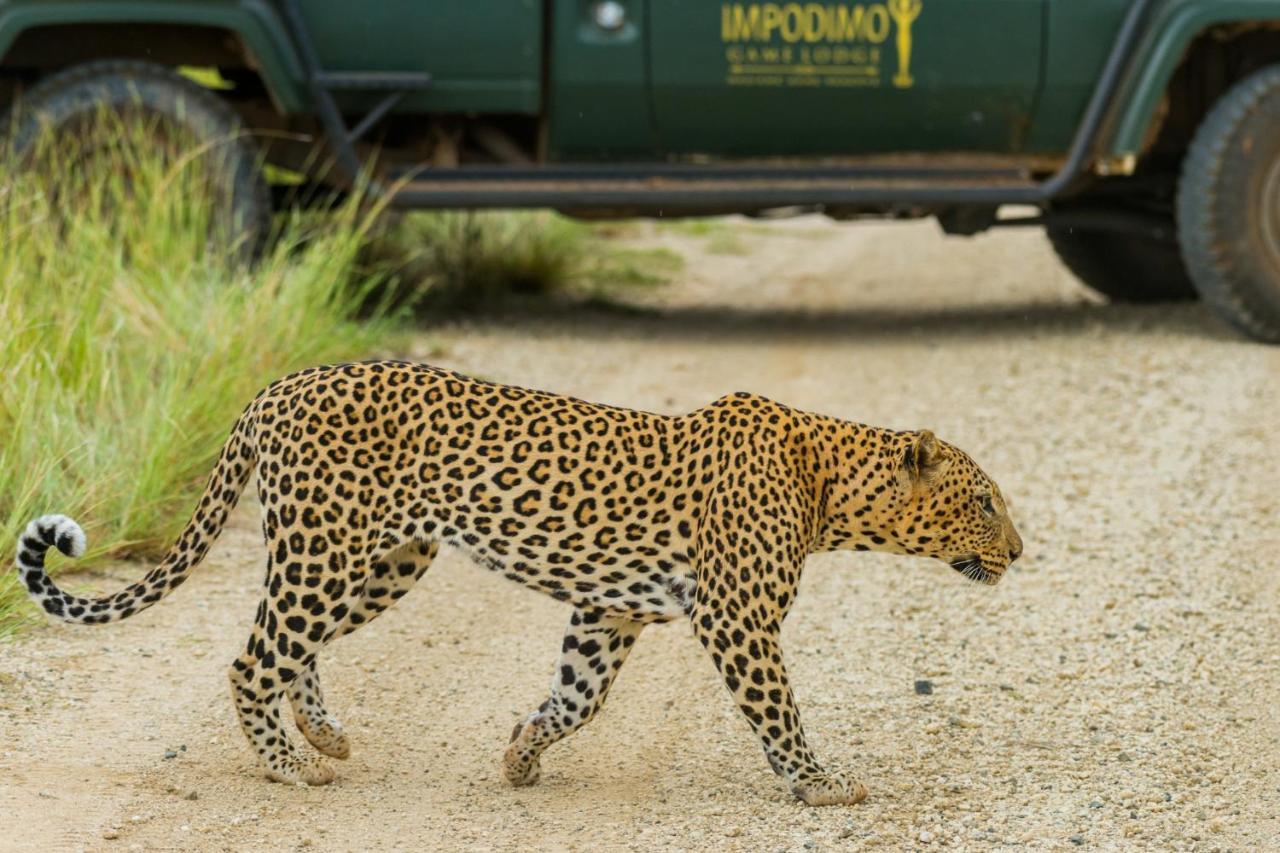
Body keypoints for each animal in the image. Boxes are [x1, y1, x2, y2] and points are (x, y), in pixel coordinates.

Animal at [15, 358, 1018, 804]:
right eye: (984, 500)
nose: (1020, 550)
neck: (830, 484)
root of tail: (277, 387)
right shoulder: (736, 619)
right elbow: (779, 709)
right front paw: (821, 783)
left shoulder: (609, 610)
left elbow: (577, 698)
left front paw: (519, 754)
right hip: (329, 549)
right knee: (251, 658)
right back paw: (290, 765)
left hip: (380, 560)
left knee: (291, 649)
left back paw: (325, 734)